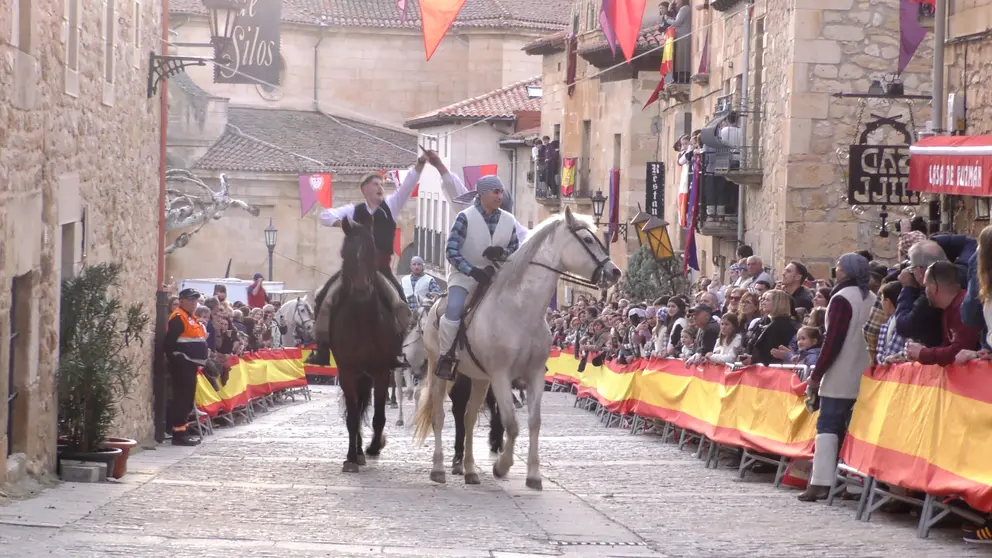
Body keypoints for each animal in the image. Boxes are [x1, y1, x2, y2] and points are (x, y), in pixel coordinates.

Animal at [326, 217, 404, 474]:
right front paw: (351, 457)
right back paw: (357, 451)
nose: (361, 288)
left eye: (371, 249)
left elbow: (378, 416)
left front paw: (374, 446)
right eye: (346, 252)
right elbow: (352, 417)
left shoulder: (381, 372)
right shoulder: (348, 372)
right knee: (357, 411)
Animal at [412, 209, 620, 490]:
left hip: (479, 378)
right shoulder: (501, 376)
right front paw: (502, 466)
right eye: (587, 240)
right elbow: (511, 424)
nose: (614, 271)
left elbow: (534, 423)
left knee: (468, 418)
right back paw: (438, 469)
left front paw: (533, 475)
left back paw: (470, 470)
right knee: (439, 415)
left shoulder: (534, 375)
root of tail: (435, 305)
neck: (520, 311)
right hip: (439, 369)